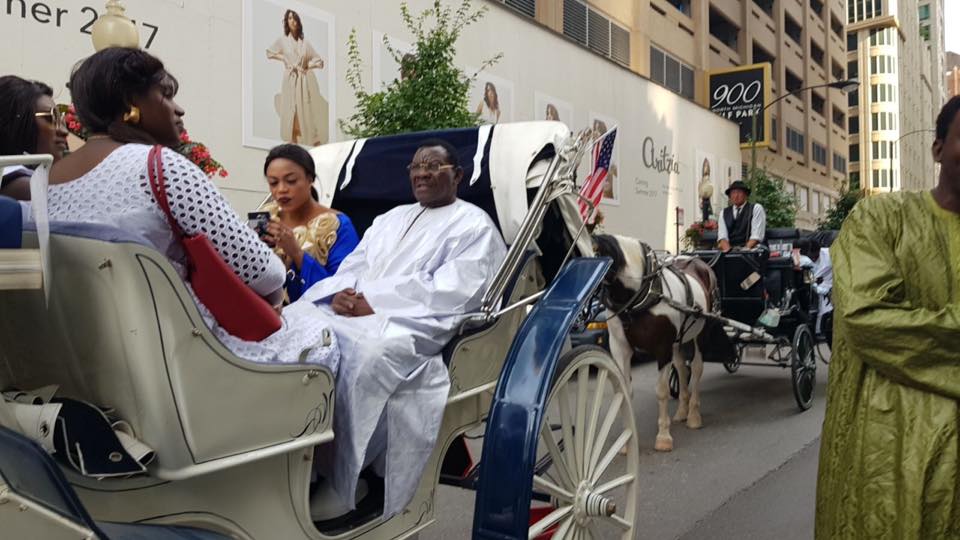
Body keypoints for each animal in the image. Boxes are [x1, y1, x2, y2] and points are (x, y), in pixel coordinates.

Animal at [588, 235, 732, 452]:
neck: (643, 293)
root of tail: (701, 263)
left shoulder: (662, 348)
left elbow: (662, 392)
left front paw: (663, 437)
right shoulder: (620, 348)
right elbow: (624, 392)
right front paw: (627, 443)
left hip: (700, 333)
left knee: (696, 368)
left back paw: (693, 415)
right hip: (678, 340)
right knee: (681, 368)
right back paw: (682, 410)